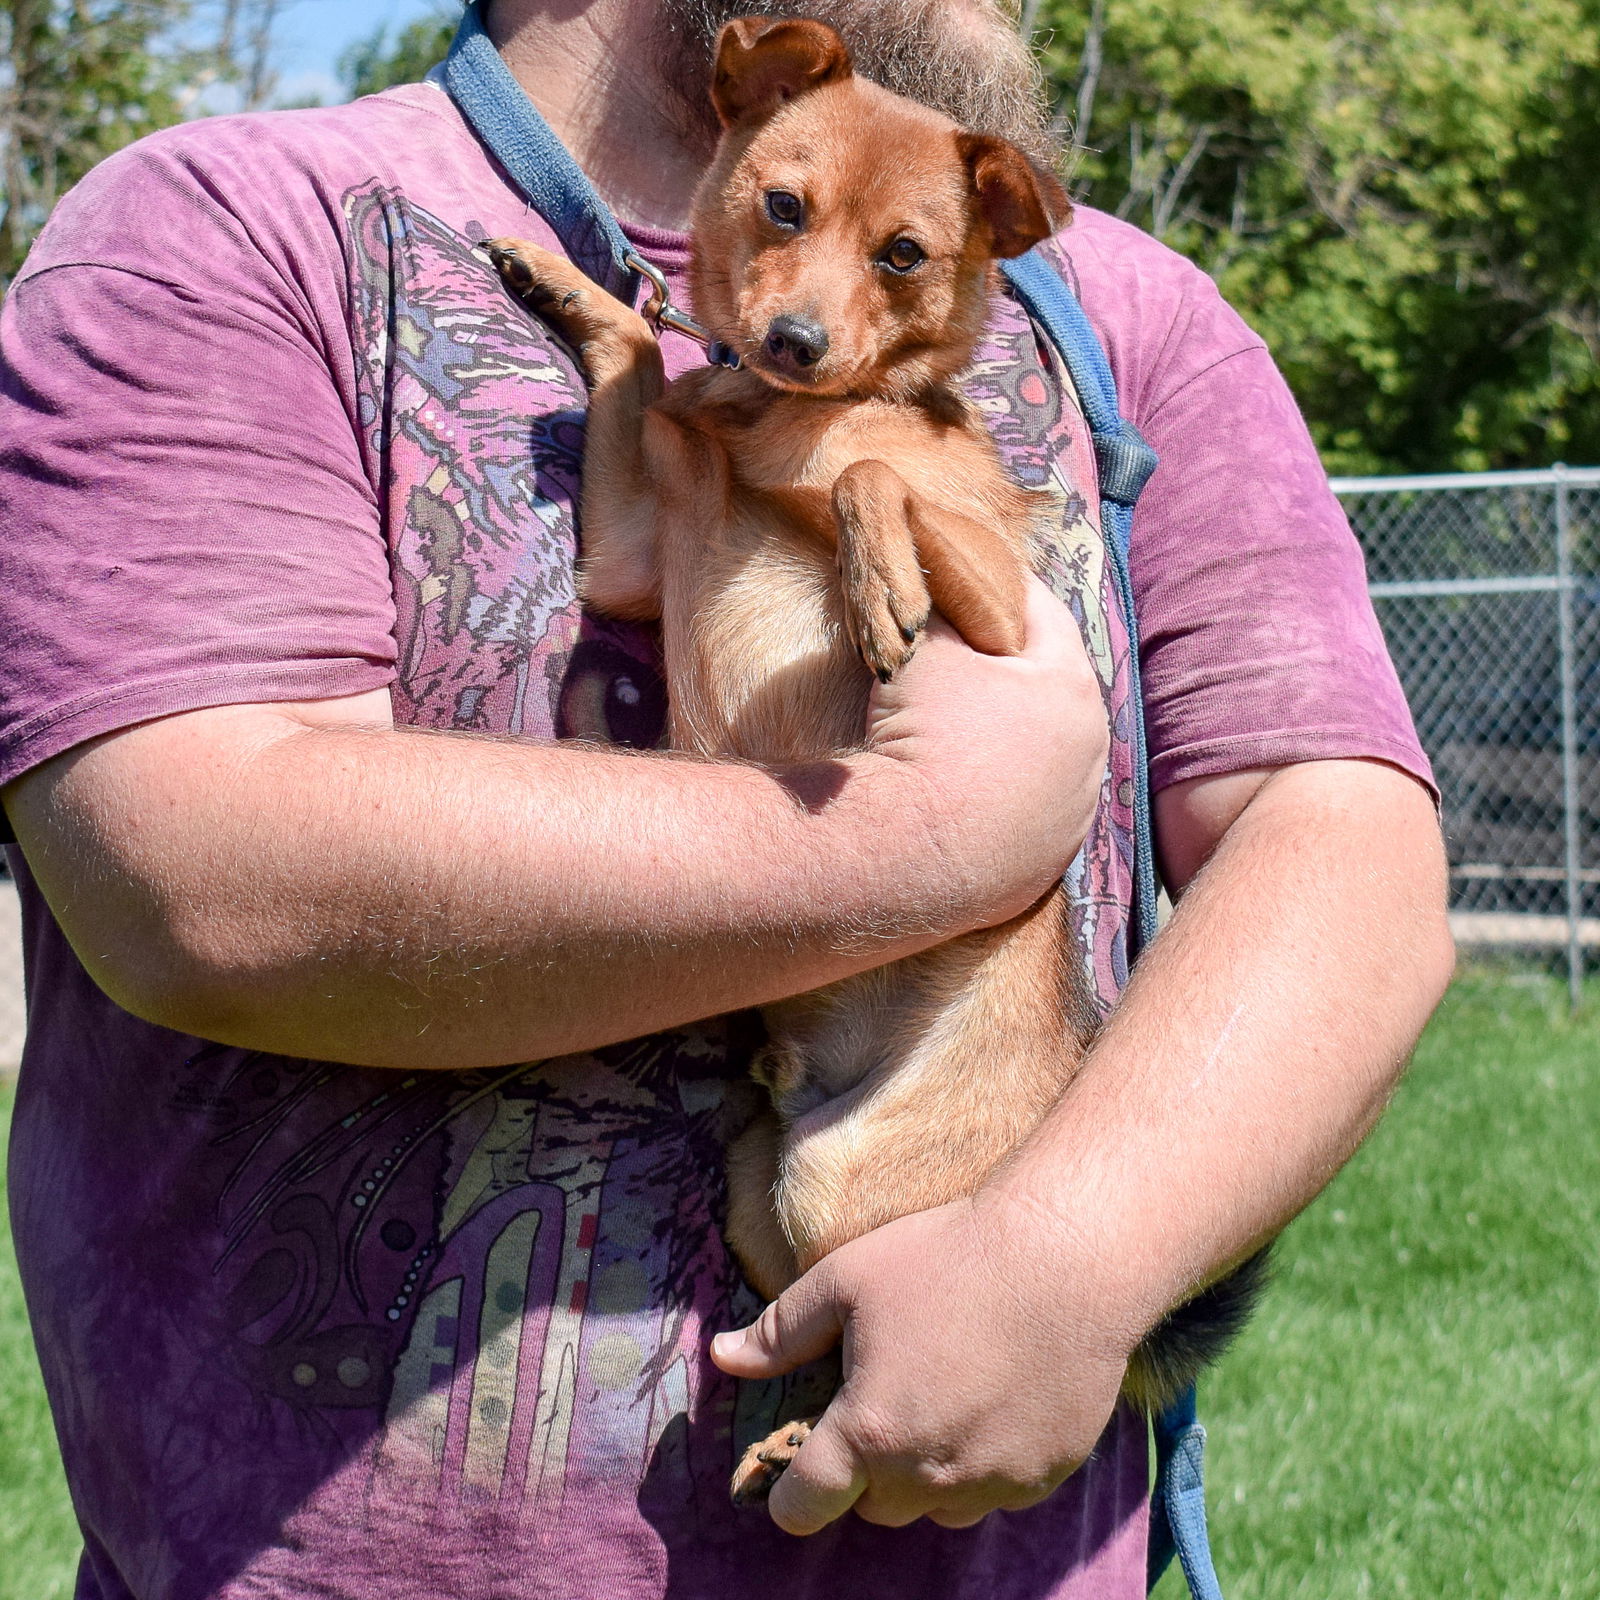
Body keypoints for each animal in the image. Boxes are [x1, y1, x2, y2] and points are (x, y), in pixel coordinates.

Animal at [486, 18, 1260, 1504]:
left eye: (904, 254)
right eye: (782, 207)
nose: (791, 341)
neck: (770, 429)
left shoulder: (1010, 620)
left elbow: (871, 482)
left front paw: (874, 576)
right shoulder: (630, 550)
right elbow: (638, 360)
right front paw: (569, 285)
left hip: (849, 1196)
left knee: (869, 1336)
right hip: (765, 1189)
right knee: (810, 1318)